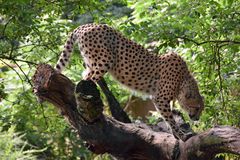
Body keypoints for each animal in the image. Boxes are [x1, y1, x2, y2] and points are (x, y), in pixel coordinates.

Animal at [55, 23, 203, 141]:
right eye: (197, 108)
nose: (197, 118)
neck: (183, 79)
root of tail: (85, 25)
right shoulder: (160, 98)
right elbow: (170, 119)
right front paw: (182, 135)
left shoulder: (156, 97)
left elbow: (167, 118)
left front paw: (176, 135)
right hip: (105, 61)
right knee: (87, 80)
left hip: (91, 63)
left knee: (83, 77)